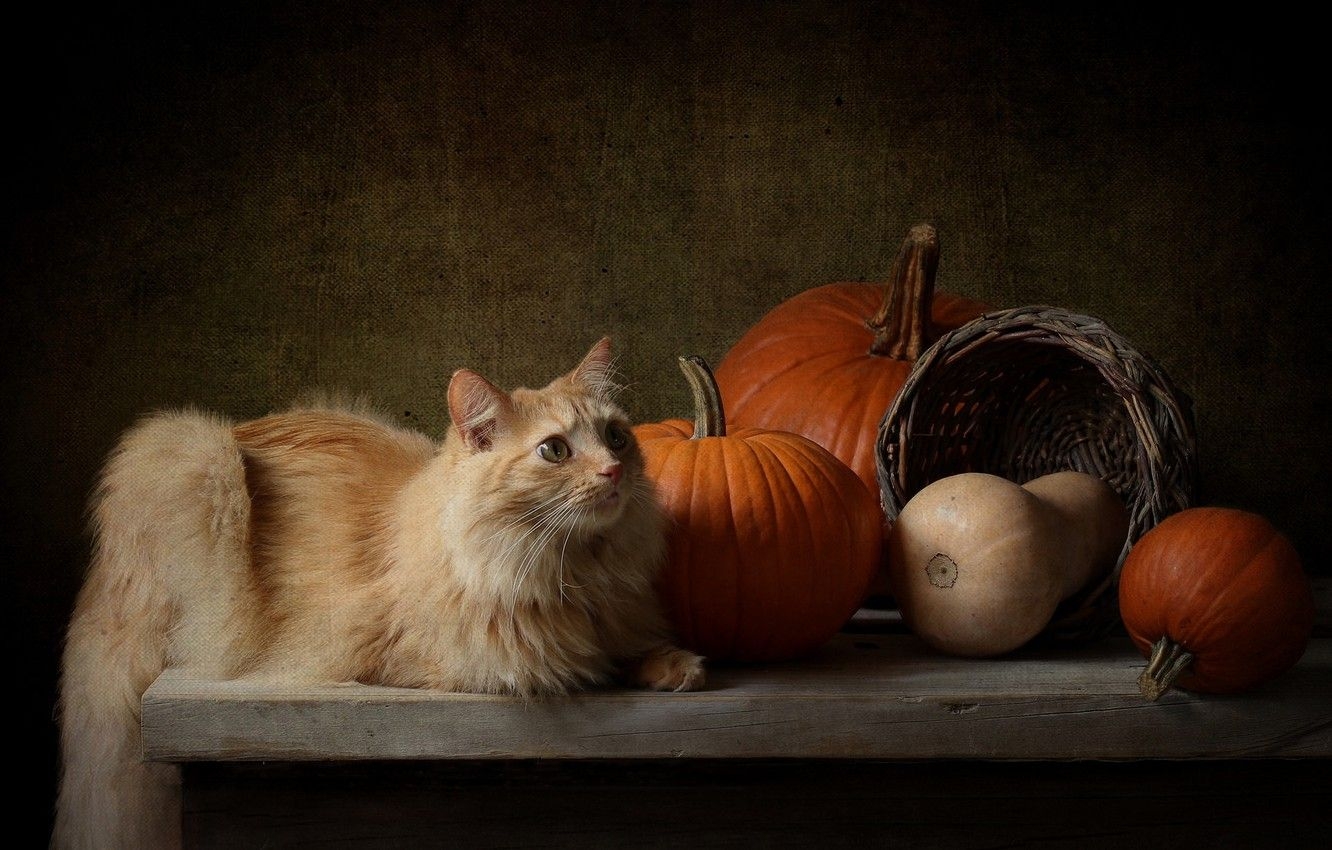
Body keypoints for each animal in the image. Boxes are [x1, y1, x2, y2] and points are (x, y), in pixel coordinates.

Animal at [57, 341, 703, 850]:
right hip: (192, 457)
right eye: (555, 451)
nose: (613, 472)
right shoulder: (396, 653)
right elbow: (547, 660)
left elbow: (631, 648)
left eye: (616, 438)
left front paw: (672, 666)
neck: (576, 572)